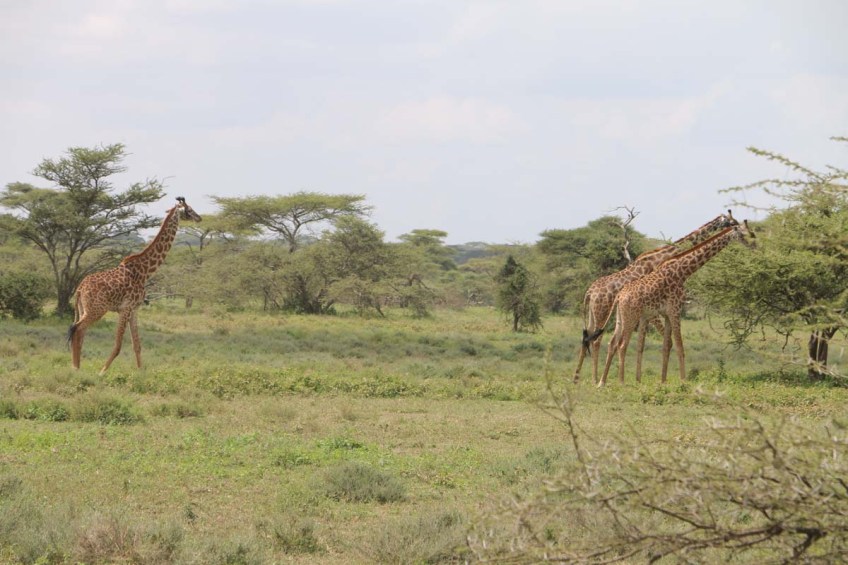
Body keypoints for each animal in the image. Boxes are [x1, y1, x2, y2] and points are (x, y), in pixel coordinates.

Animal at [68, 197, 202, 374]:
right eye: (189, 210)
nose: (199, 218)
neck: (145, 271)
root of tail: (79, 288)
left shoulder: (134, 309)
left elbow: (137, 345)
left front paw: (141, 372)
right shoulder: (125, 308)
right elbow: (118, 345)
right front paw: (102, 372)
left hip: (84, 309)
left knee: (79, 333)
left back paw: (76, 367)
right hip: (97, 310)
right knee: (77, 330)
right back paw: (76, 370)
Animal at [572, 212, 737, 384]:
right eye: (731, 221)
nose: (739, 226)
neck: (663, 256)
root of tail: (590, 292)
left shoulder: (649, 312)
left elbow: (647, 343)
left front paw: (642, 379)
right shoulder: (653, 311)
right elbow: (663, 341)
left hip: (593, 315)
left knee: (587, 338)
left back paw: (577, 378)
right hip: (603, 313)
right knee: (596, 340)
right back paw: (595, 379)